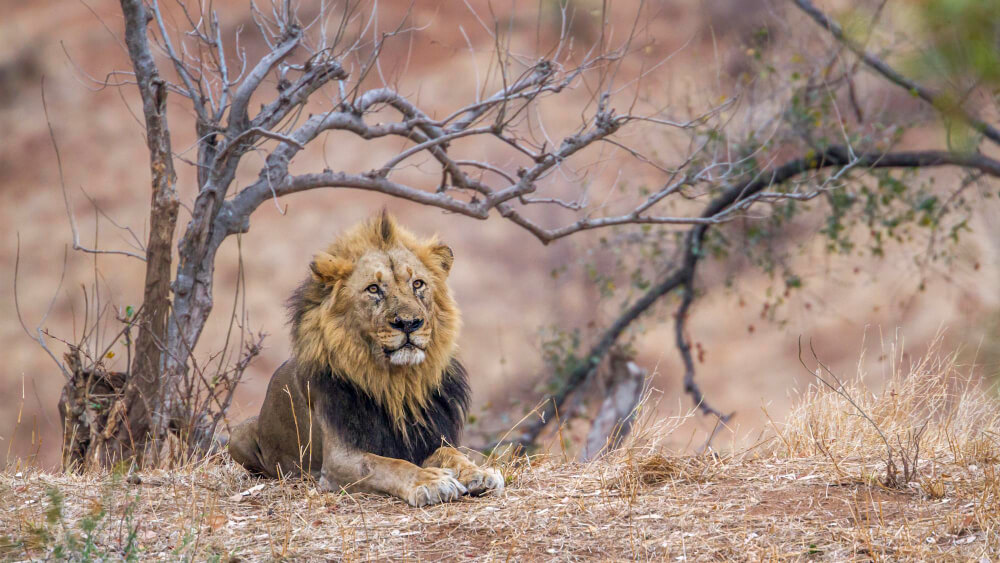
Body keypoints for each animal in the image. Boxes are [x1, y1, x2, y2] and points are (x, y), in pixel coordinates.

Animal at [228, 212, 503, 506]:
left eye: (418, 284)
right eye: (373, 289)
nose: (409, 323)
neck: (399, 385)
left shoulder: (428, 439)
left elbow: (453, 454)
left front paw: (479, 473)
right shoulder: (339, 460)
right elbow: (388, 465)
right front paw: (431, 481)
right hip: (237, 435)